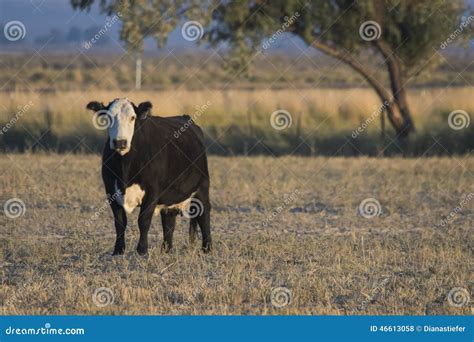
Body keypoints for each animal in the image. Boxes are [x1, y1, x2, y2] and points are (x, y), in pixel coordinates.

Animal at [86, 97, 212, 255]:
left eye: (132, 117)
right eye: (108, 118)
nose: (120, 142)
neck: (125, 168)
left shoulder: (152, 192)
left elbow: (143, 221)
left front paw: (142, 250)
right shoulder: (110, 191)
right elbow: (120, 222)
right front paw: (118, 251)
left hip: (202, 187)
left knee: (204, 215)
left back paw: (207, 248)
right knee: (169, 221)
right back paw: (166, 250)